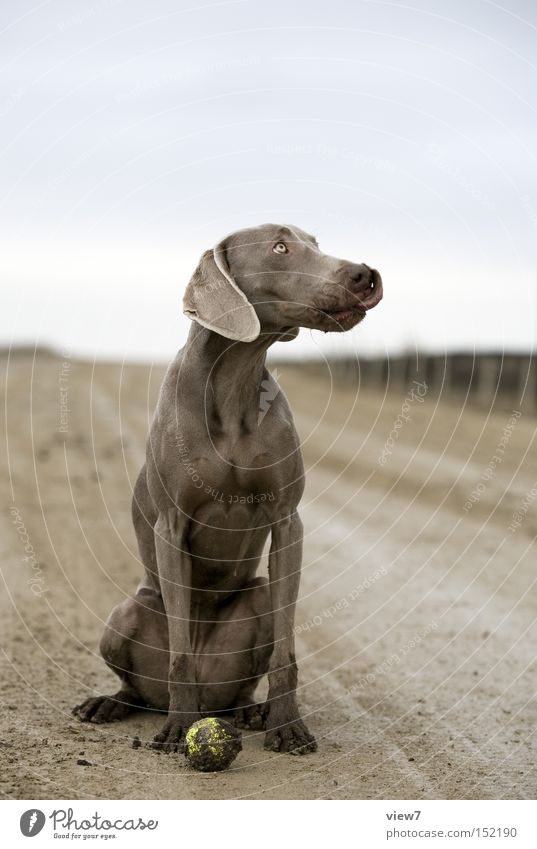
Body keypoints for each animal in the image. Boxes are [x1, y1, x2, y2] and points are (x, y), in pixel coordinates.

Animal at [72, 222, 382, 752]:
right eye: (279, 246)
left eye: (316, 243)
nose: (365, 273)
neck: (234, 380)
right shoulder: (171, 527)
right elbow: (178, 653)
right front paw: (180, 728)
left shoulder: (287, 521)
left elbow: (286, 653)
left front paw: (287, 724)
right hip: (127, 611)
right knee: (140, 683)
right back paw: (116, 704)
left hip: (257, 602)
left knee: (242, 680)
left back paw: (251, 710)